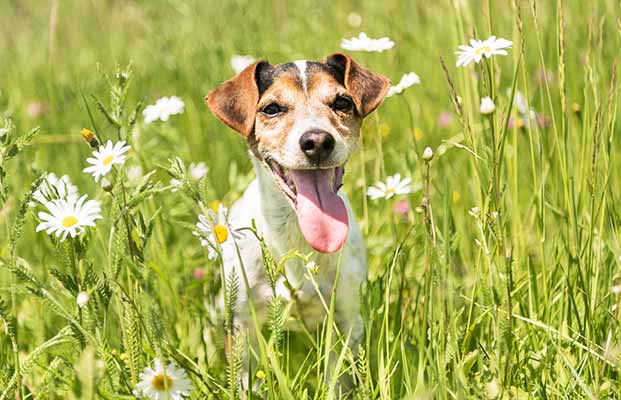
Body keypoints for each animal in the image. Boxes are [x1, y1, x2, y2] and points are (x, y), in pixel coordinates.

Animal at [205, 53, 388, 378]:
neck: (296, 234)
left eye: (342, 102)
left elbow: (337, 378)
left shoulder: (346, 317)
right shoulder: (242, 325)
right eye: (271, 108)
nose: (317, 141)